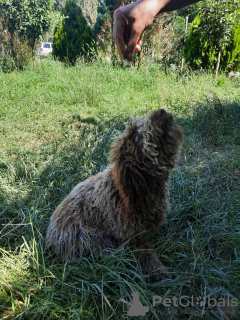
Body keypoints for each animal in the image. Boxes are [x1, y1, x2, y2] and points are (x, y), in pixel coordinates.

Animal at [46, 109, 183, 280]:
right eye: (136, 137)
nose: (161, 111)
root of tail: (49, 237)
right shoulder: (131, 238)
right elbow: (147, 257)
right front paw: (162, 274)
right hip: (91, 238)